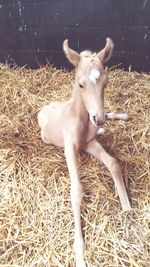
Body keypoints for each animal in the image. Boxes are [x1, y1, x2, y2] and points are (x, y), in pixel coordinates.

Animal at [38, 39, 131, 267]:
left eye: (106, 82)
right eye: (81, 84)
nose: (98, 118)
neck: (79, 119)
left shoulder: (89, 143)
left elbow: (113, 163)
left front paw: (127, 208)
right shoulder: (71, 148)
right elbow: (76, 190)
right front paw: (79, 253)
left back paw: (118, 118)